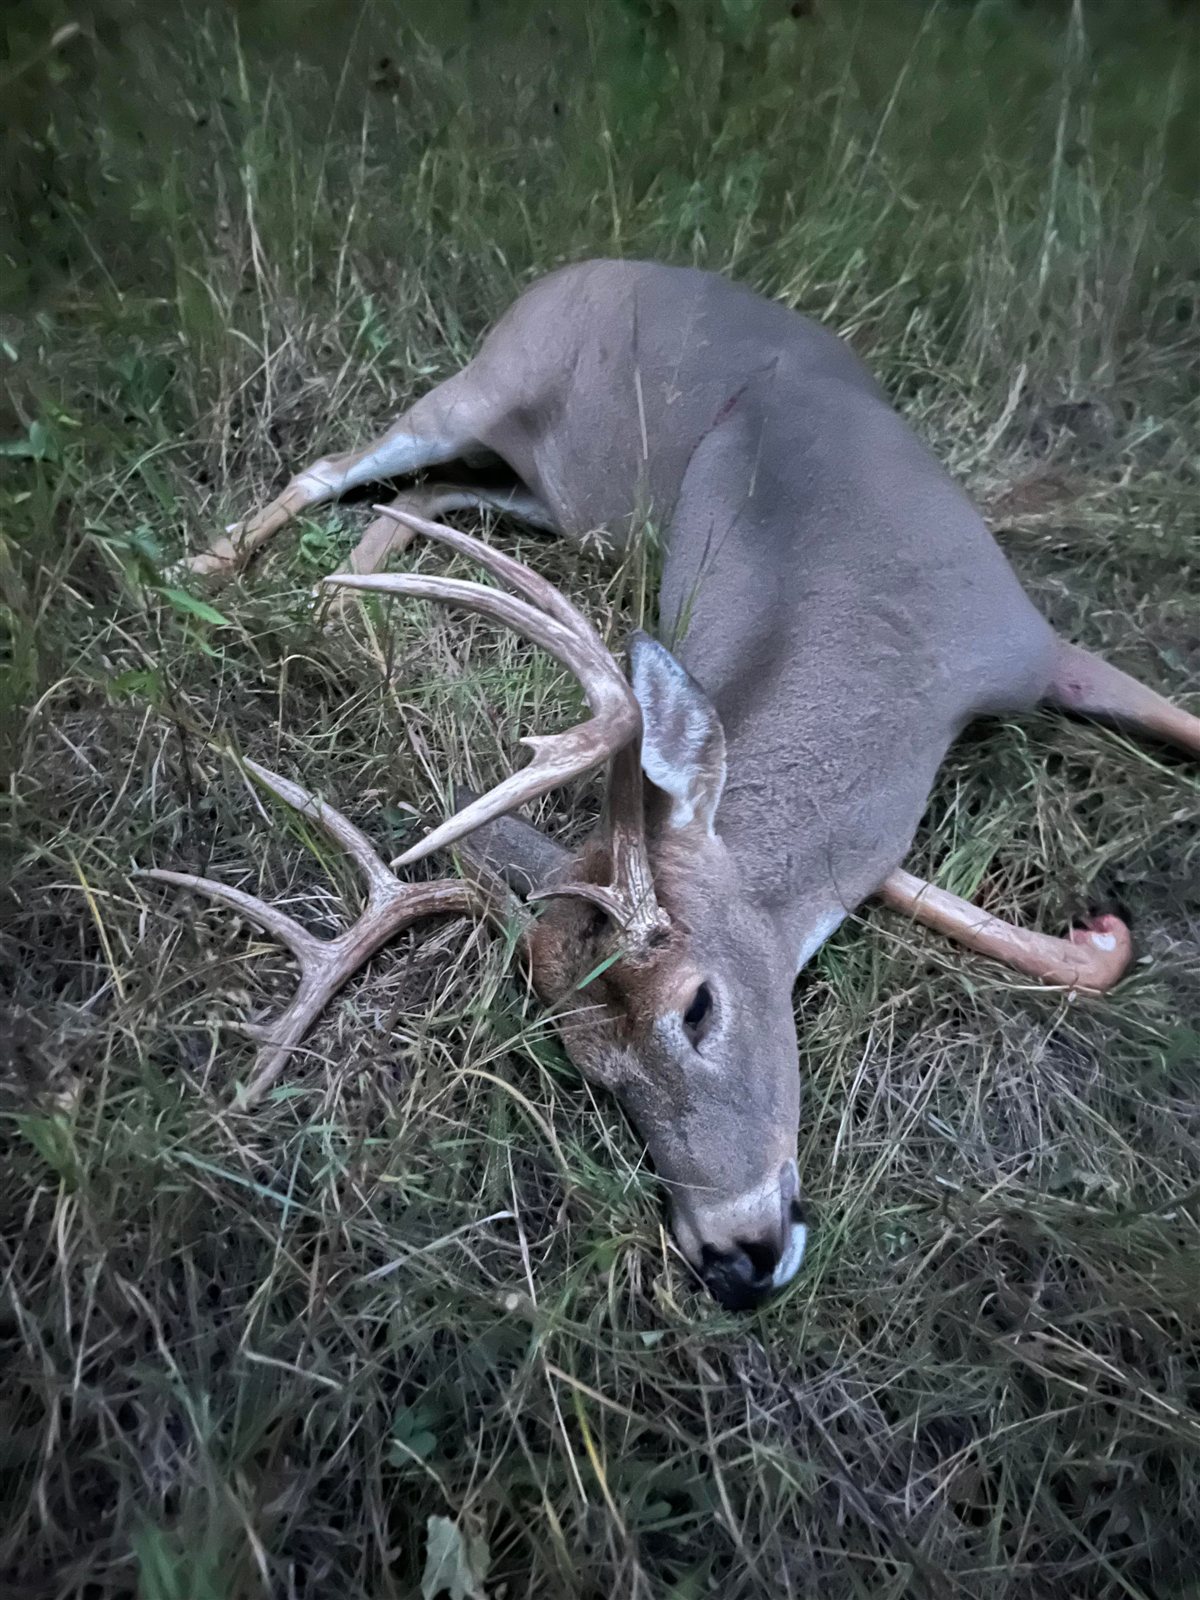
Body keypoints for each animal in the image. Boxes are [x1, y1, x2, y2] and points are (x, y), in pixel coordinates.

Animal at [149, 260, 1200, 1311]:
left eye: (697, 1005)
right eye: (593, 1071)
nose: (733, 1258)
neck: (899, 666)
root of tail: (595, 266)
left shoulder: (1029, 641)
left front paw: (1098, 934)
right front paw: (1103, 934)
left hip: (548, 480)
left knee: (414, 489)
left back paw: (321, 588)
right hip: (496, 397)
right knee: (346, 468)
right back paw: (223, 567)